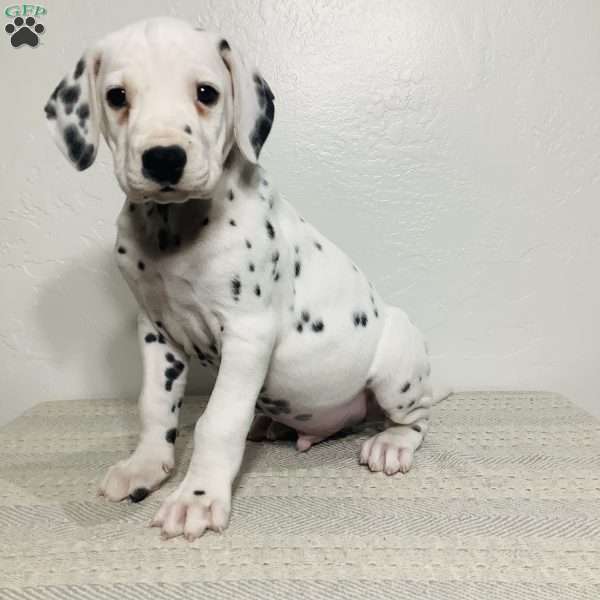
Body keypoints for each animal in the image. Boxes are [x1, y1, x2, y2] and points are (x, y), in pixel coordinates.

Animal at [44, 16, 450, 540]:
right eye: (117, 96)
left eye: (206, 92)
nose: (163, 158)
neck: (174, 229)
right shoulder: (156, 332)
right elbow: (154, 406)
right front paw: (145, 466)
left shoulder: (247, 333)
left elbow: (216, 422)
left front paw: (196, 498)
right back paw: (272, 425)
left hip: (396, 369)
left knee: (416, 415)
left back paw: (392, 443)